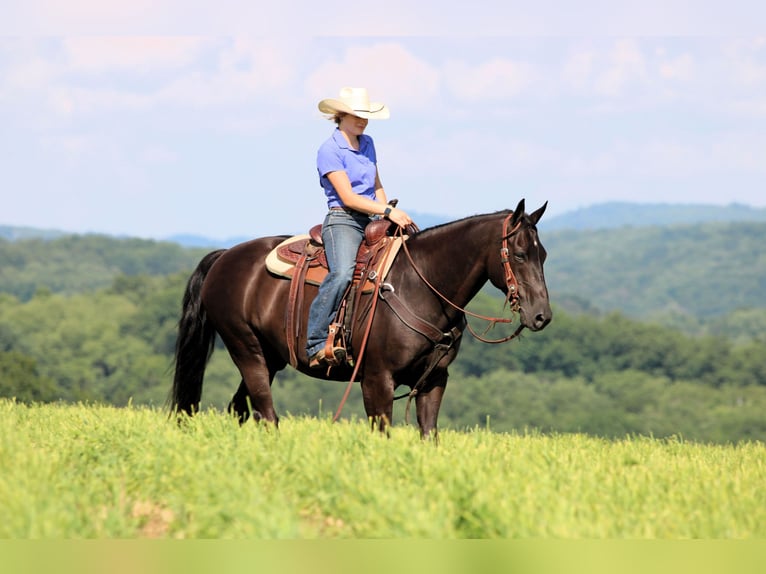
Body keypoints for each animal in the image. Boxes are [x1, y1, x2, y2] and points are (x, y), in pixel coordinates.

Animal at [170, 198, 552, 437]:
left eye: (543, 255)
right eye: (520, 254)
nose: (542, 316)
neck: (419, 285)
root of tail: (224, 258)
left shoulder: (433, 380)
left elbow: (430, 435)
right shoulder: (377, 380)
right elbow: (381, 433)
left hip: (271, 356)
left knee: (240, 408)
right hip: (246, 350)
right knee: (266, 412)